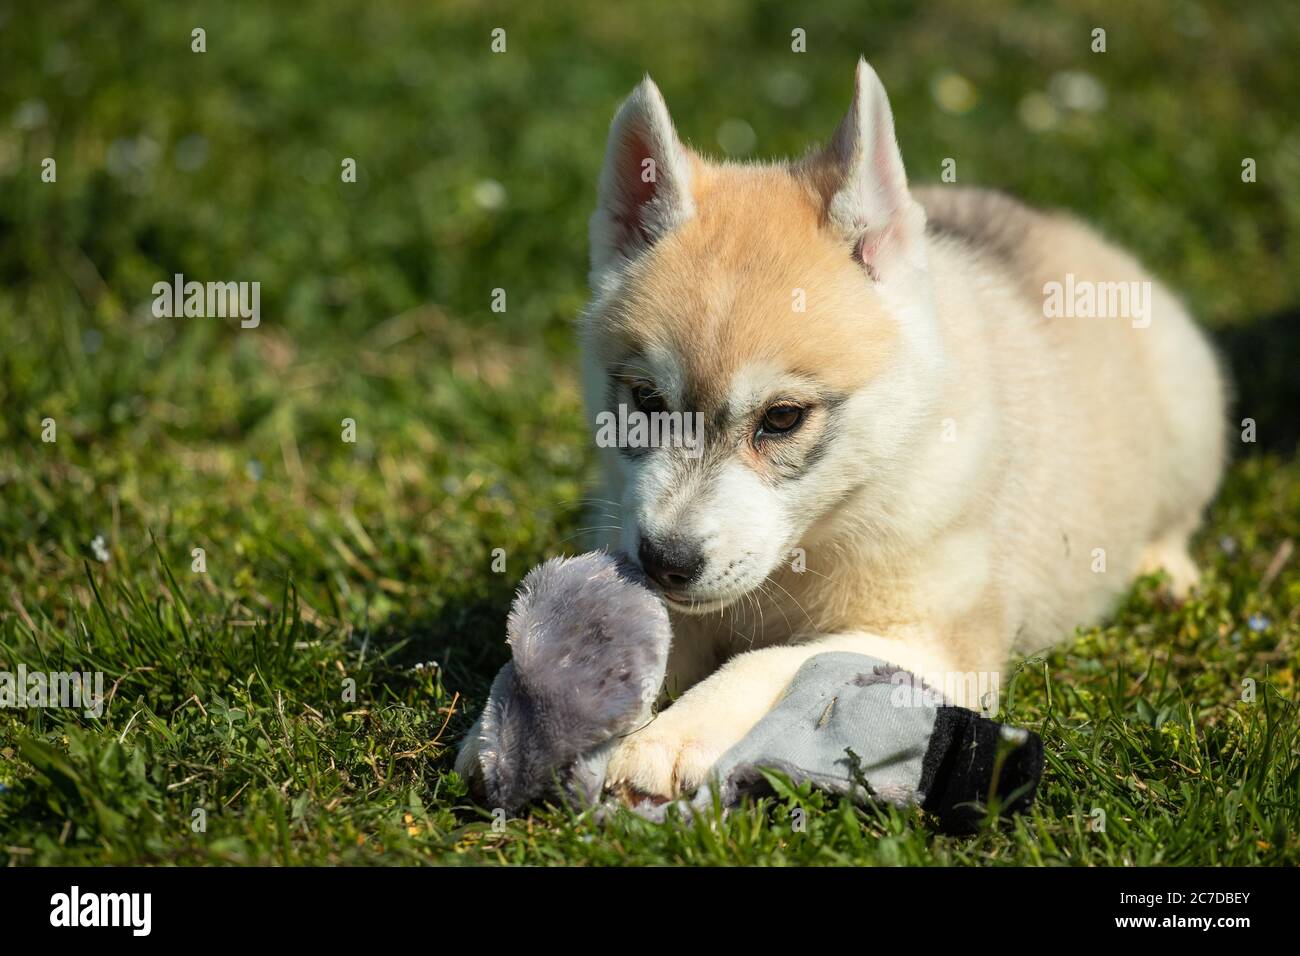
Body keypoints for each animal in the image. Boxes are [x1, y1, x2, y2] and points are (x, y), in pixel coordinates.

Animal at [574, 55, 1222, 796]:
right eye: (647, 400)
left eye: (782, 418)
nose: (666, 563)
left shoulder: (934, 644)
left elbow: (776, 662)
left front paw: (671, 737)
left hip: (1189, 406)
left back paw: (1166, 572)